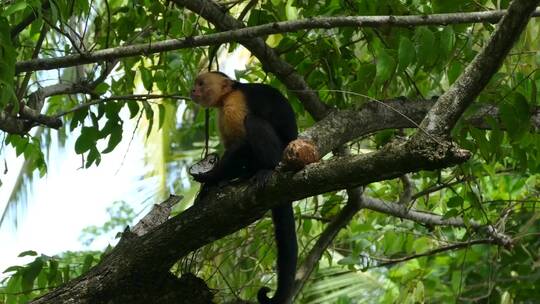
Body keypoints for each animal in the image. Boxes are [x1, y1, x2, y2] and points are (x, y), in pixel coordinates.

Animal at [190, 72, 300, 304]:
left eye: (201, 83)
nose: (192, 90)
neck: (227, 95)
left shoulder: (236, 102)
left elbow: (241, 144)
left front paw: (209, 177)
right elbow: (232, 147)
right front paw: (212, 184)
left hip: (282, 154)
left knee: (254, 122)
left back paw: (266, 169)